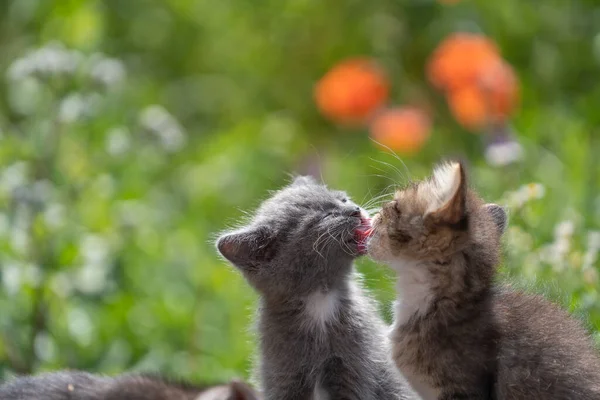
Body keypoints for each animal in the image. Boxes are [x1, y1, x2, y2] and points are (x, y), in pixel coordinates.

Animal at [216, 177, 412, 400]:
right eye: (326, 215)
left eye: (343, 199)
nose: (355, 209)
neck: (320, 299)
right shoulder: (283, 375)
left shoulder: (357, 368)